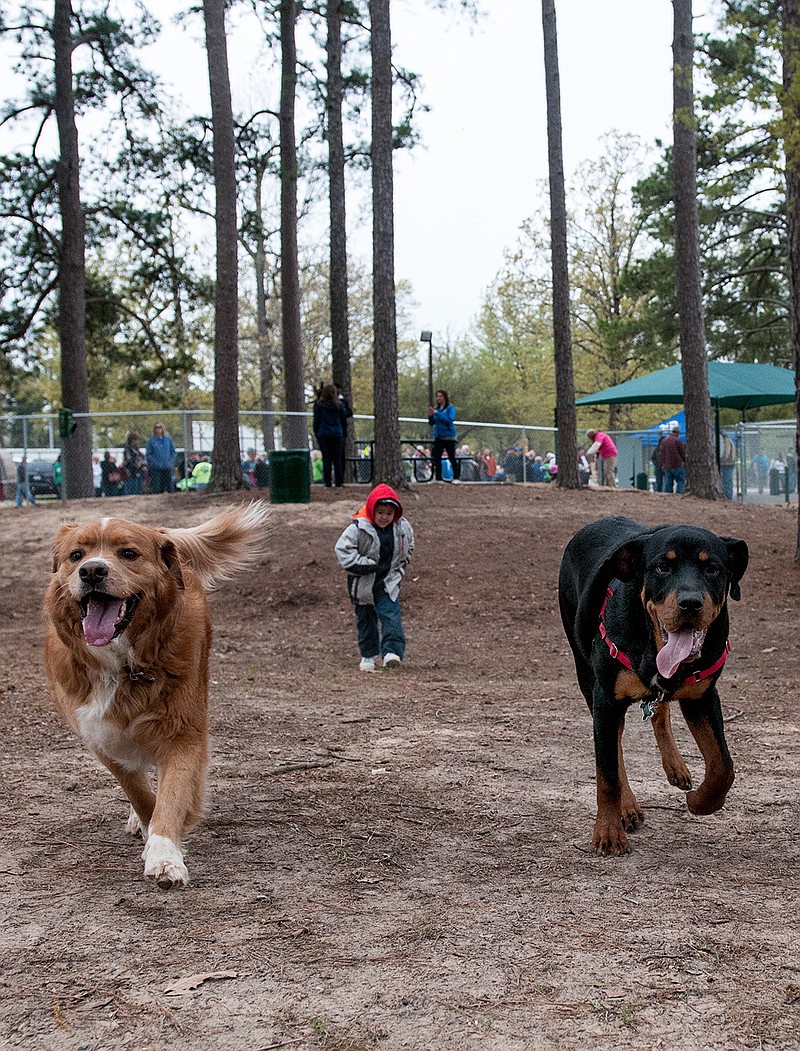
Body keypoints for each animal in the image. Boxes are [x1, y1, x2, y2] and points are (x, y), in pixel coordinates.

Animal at [555, 514, 748, 853]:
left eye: (712, 568)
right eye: (662, 567)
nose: (690, 603)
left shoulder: (703, 696)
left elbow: (723, 767)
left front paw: (699, 801)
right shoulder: (606, 698)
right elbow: (607, 773)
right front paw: (608, 832)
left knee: (660, 711)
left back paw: (676, 767)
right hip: (586, 675)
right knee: (615, 748)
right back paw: (628, 808)